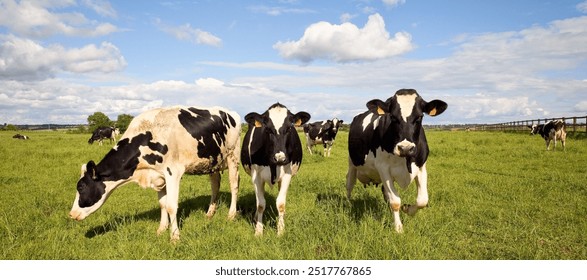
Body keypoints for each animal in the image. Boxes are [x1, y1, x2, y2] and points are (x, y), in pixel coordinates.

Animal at [70, 106, 241, 242]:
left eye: (81, 187)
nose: (71, 214)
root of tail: (230, 112)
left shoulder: (172, 172)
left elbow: (171, 206)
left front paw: (174, 236)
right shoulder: (158, 177)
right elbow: (162, 204)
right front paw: (161, 229)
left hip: (232, 156)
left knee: (234, 185)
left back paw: (231, 215)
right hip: (213, 162)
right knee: (215, 186)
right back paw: (210, 213)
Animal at [241, 103, 312, 236]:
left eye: (289, 128)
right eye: (267, 129)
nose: (280, 158)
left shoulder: (287, 174)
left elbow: (281, 204)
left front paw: (281, 230)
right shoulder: (256, 176)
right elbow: (260, 204)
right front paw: (258, 231)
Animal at [346, 88, 448, 233]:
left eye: (420, 117)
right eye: (393, 117)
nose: (405, 148)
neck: (405, 160)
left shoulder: (421, 167)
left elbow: (422, 200)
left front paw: (407, 209)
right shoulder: (383, 168)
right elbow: (395, 201)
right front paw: (398, 228)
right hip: (352, 163)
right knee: (349, 184)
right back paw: (348, 203)